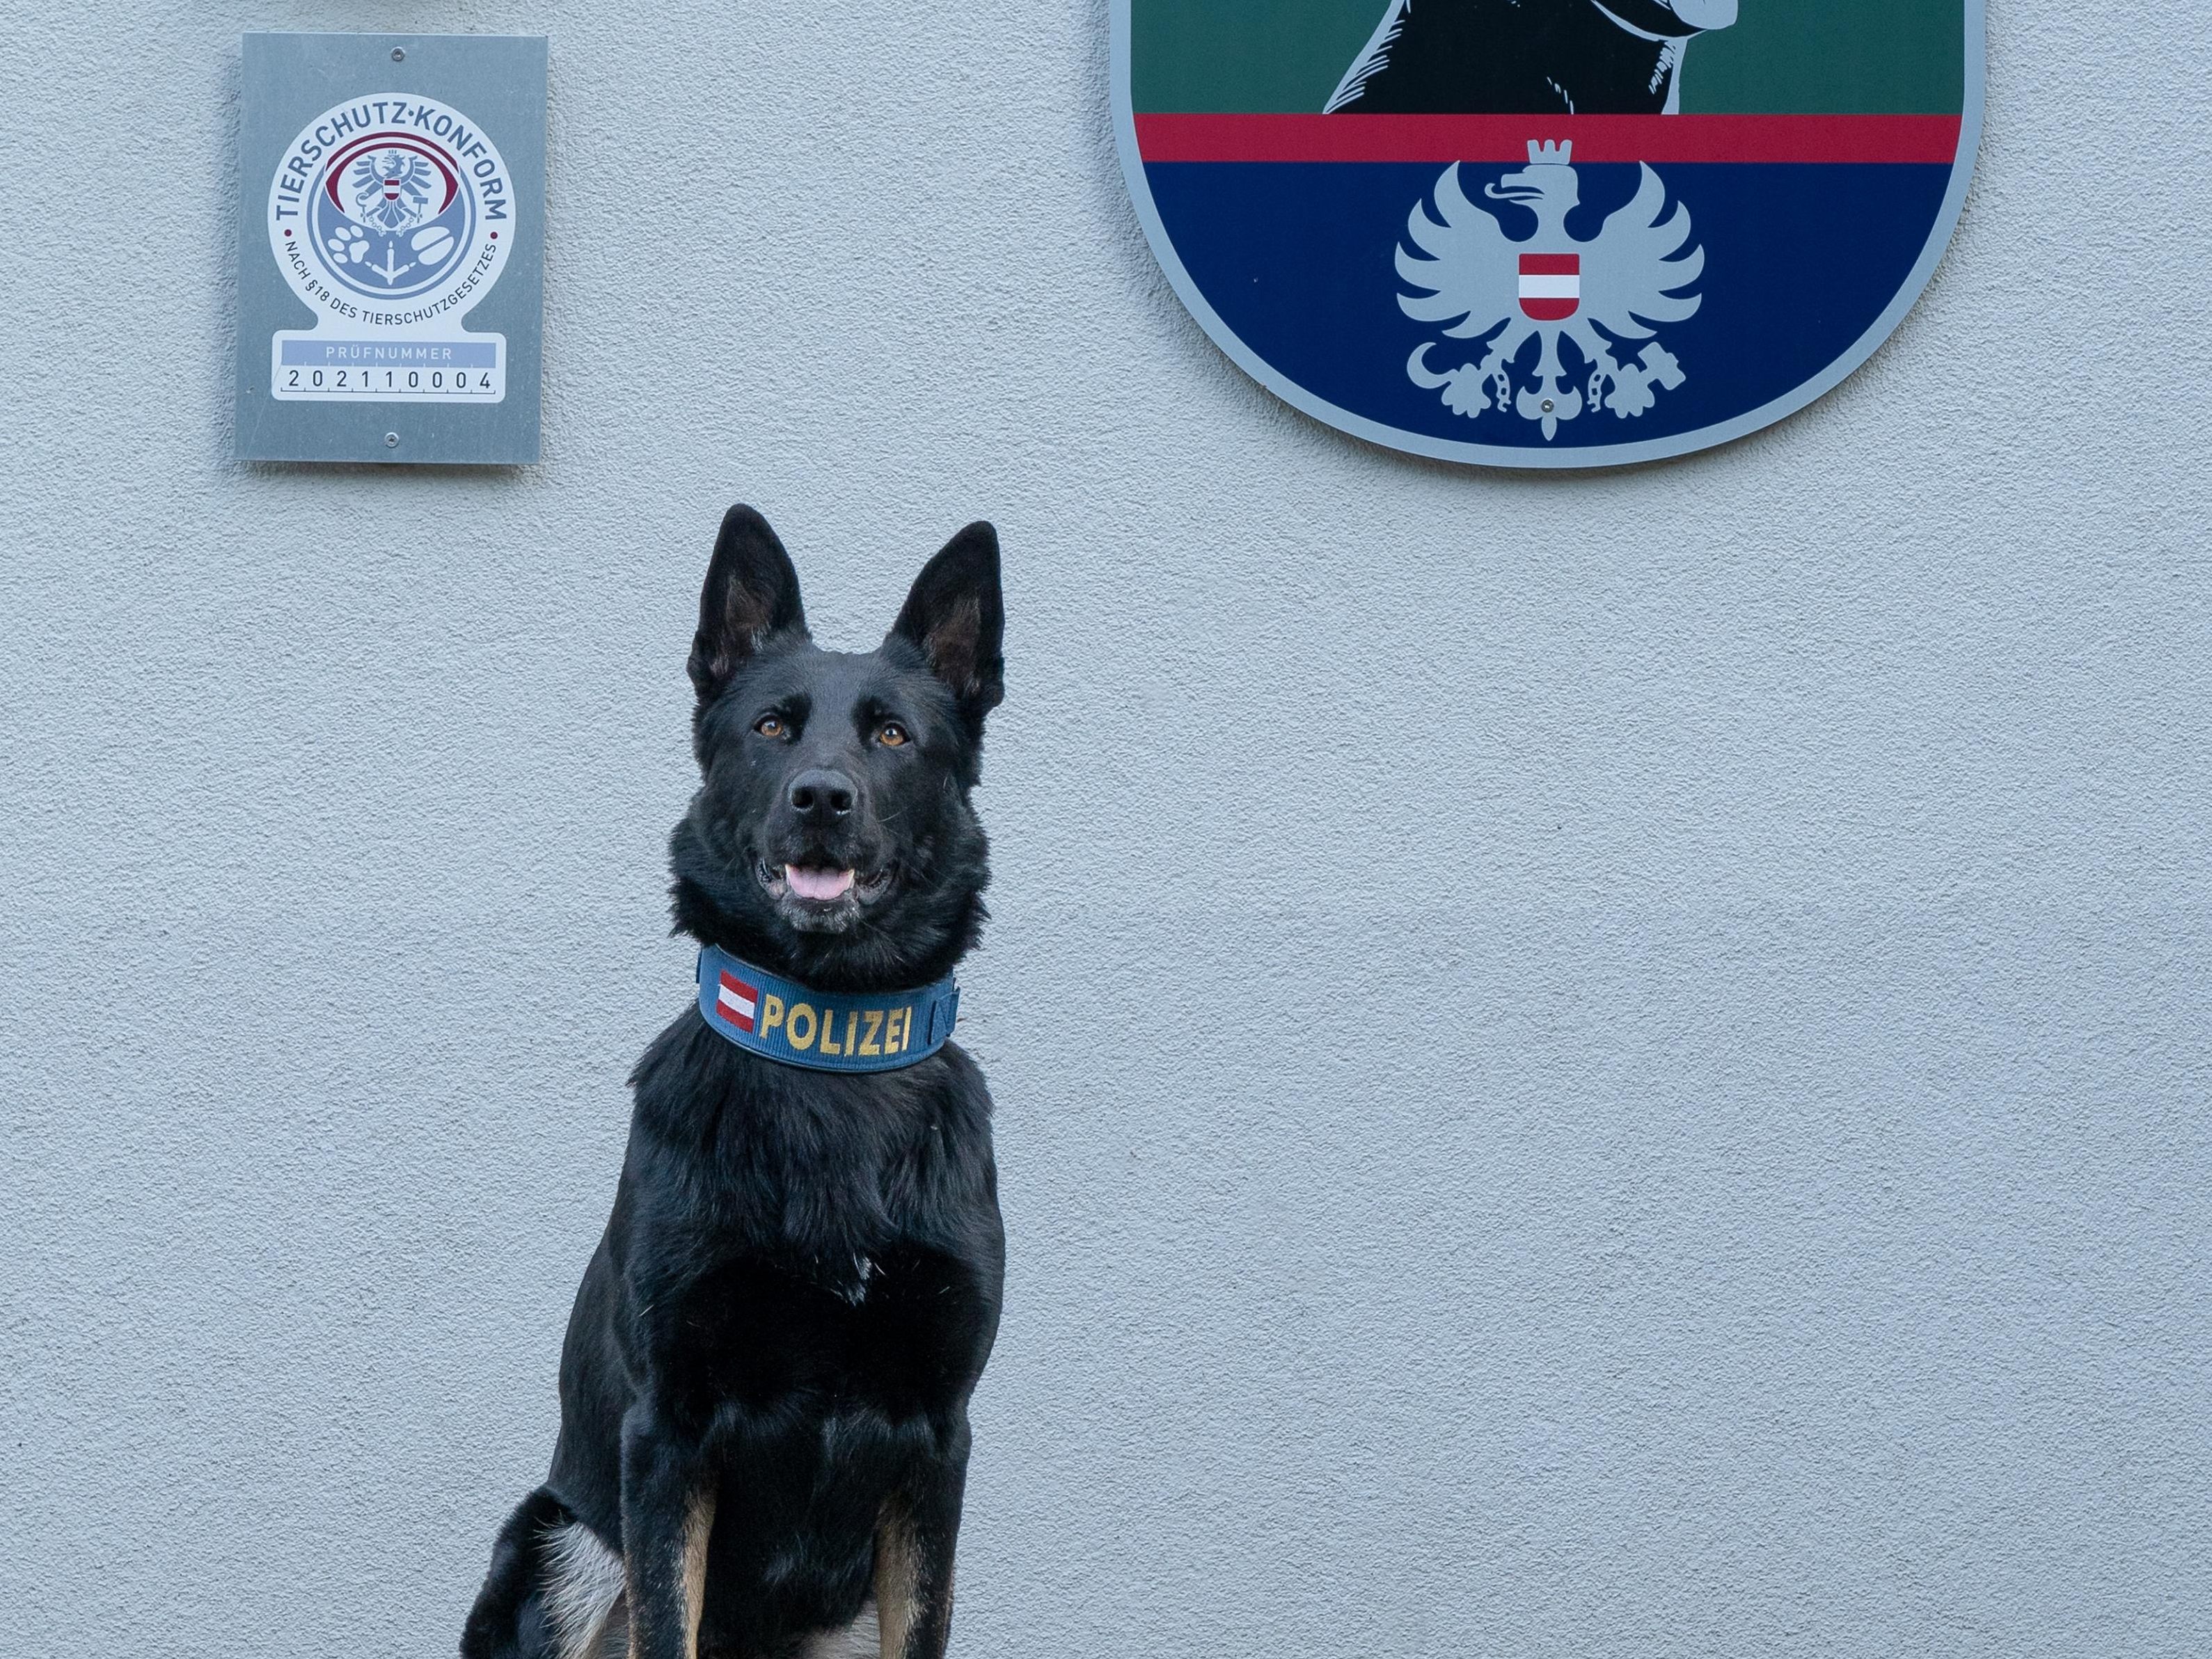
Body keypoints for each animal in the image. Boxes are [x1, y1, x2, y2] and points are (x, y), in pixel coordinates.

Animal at [462, 506, 1009, 1659]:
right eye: (771, 728)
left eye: (892, 737)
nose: (821, 798)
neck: (829, 1048)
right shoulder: (667, 1437)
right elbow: (668, 1624)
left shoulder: (937, 1444)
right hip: (568, 1546)